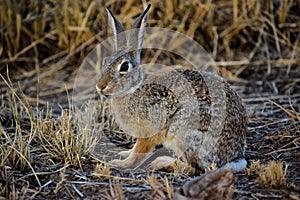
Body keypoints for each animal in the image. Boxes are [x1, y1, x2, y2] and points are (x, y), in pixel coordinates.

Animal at [97, 4, 247, 173]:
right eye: (105, 61)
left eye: (124, 67)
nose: (100, 86)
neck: (133, 88)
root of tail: (234, 156)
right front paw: (124, 153)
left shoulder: (149, 131)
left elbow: (139, 153)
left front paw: (120, 163)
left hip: (184, 131)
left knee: (193, 167)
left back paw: (162, 162)